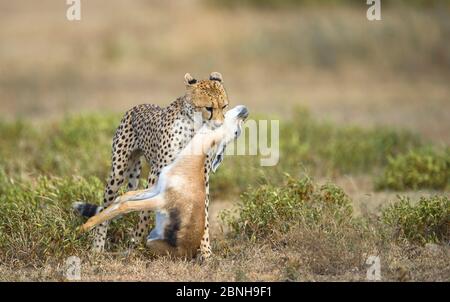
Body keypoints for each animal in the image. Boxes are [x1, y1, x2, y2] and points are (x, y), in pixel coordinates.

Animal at [73, 72, 230, 258]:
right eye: (209, 108)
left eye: (224, 106)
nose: (220, 126)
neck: (194, 128)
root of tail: (138, 105)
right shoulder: (157, 173)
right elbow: (144, 212)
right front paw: (136, 244)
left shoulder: (201, 178)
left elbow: (203, 212)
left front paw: (205, 252)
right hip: (117, 173)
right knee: (107, 206)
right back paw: (97, 247)